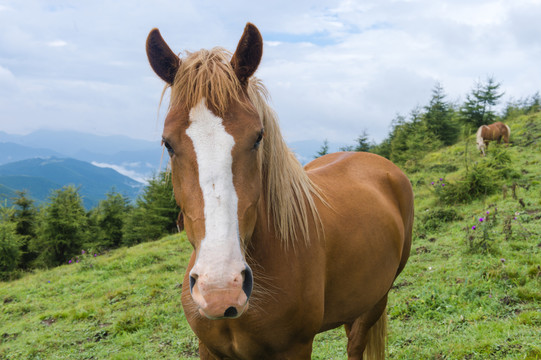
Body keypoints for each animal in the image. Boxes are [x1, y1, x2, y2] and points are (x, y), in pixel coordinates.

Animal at [146, 23, 412, 360]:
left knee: (356, 343)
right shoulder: (208, 349)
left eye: (258, 136)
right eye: (168, 143)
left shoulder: (295, 348)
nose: (220, 288)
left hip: (378, 298)